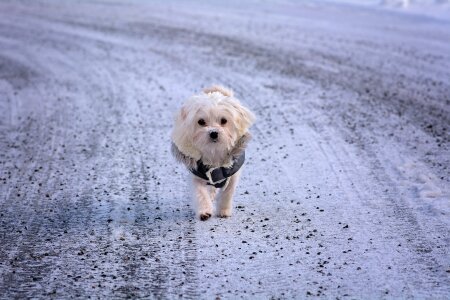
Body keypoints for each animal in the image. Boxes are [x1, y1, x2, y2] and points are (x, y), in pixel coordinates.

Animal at [171, 85, 255, 220]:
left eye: (224, 120)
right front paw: (204, 211)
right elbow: (200, 193)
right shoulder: (197, 174)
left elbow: (227, 193)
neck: (214, 151)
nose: (213, 133)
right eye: (201, 121)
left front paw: (224, 210)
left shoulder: (232, 174)